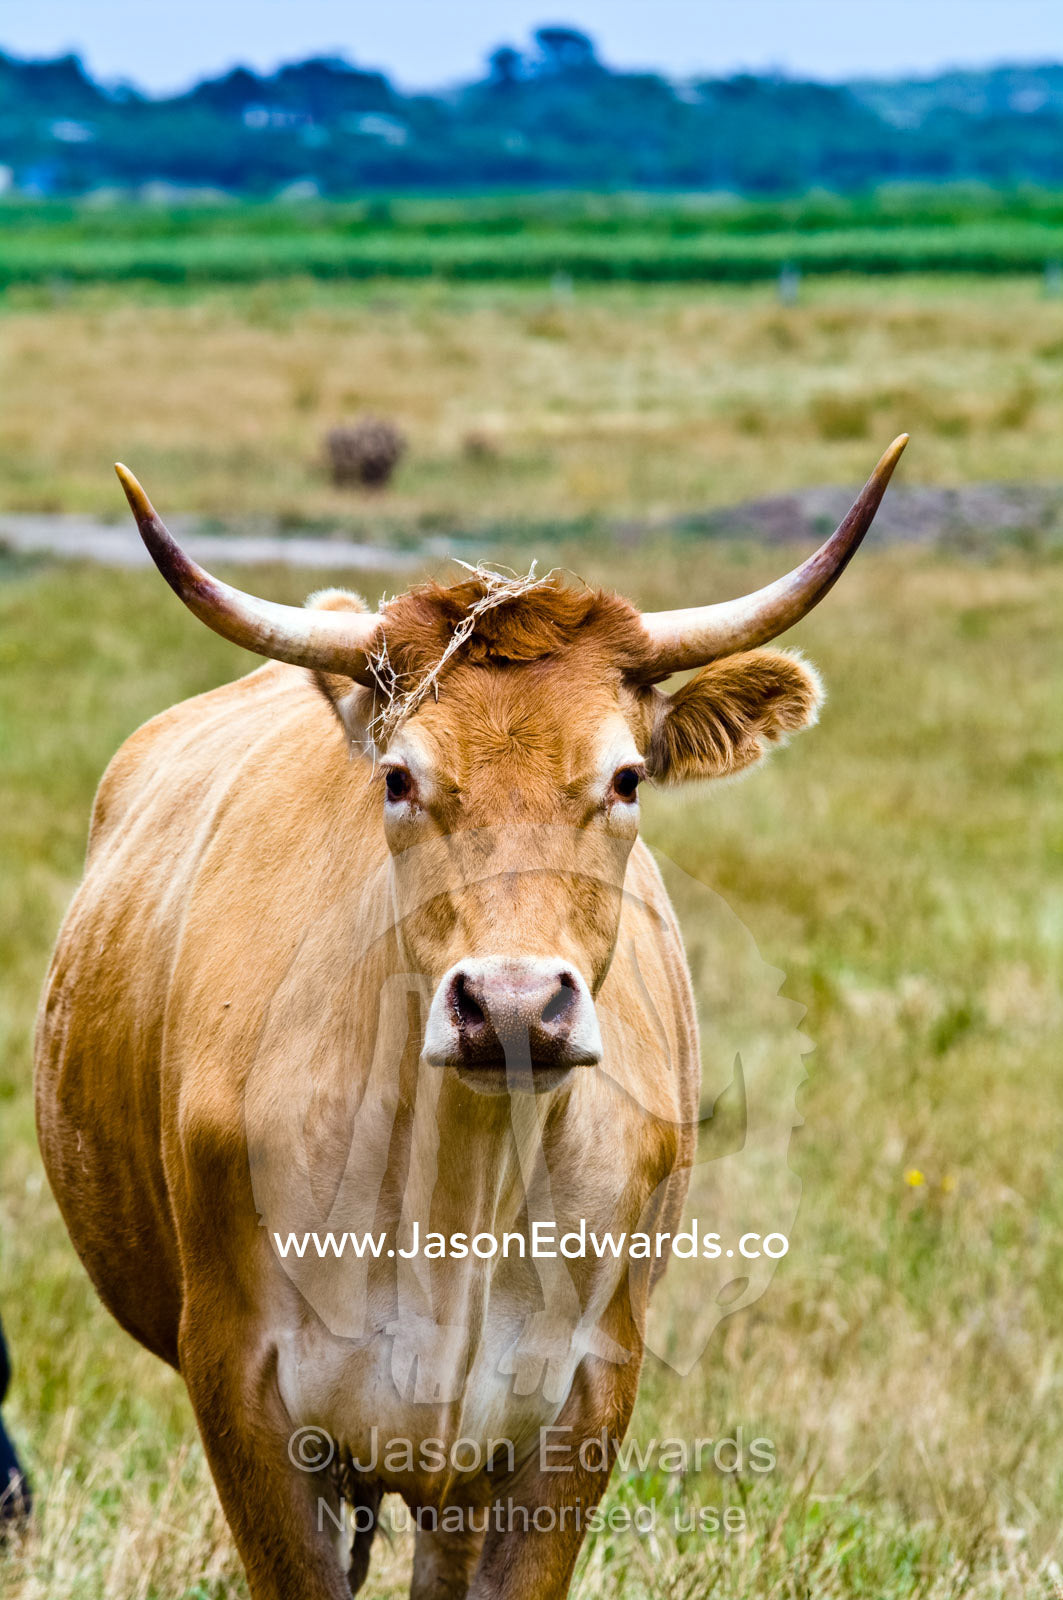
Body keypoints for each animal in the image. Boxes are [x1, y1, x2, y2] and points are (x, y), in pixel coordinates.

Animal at [35, 436, 906, 1600]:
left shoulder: (580, 1403)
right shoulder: (242, 1389)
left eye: (628, 777)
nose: (511, 1004)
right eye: (399, 778)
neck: (459, 1179)